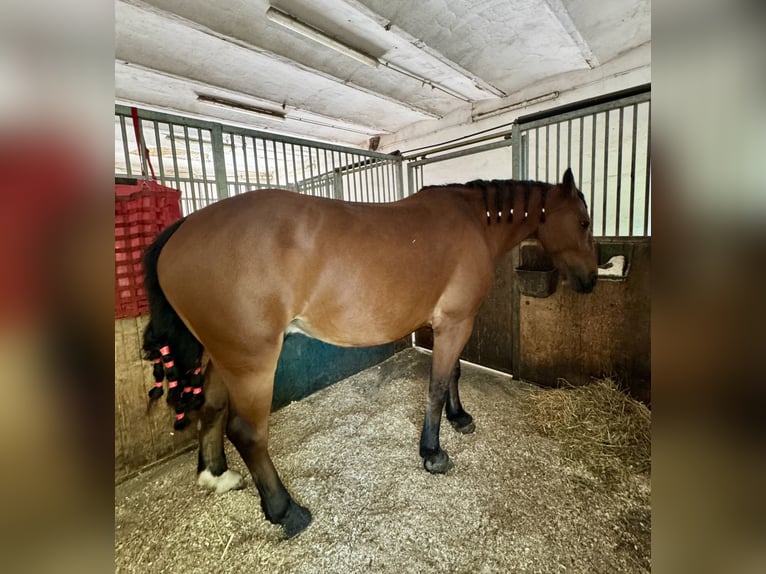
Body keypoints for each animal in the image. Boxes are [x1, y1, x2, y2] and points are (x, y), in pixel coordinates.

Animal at [141, 168, 597, 538]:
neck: (473, 222)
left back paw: (216, 476)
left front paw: (459, 417)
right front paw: (432, 453)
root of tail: (183, 229)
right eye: (584, 221)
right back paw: (286, 511)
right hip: (252, 363)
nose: (590, 280)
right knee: (247, 432)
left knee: (212, 409)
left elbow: (452, 374)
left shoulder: (454, 323)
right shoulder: (455, 322)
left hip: (223, 356)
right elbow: (436, 385)